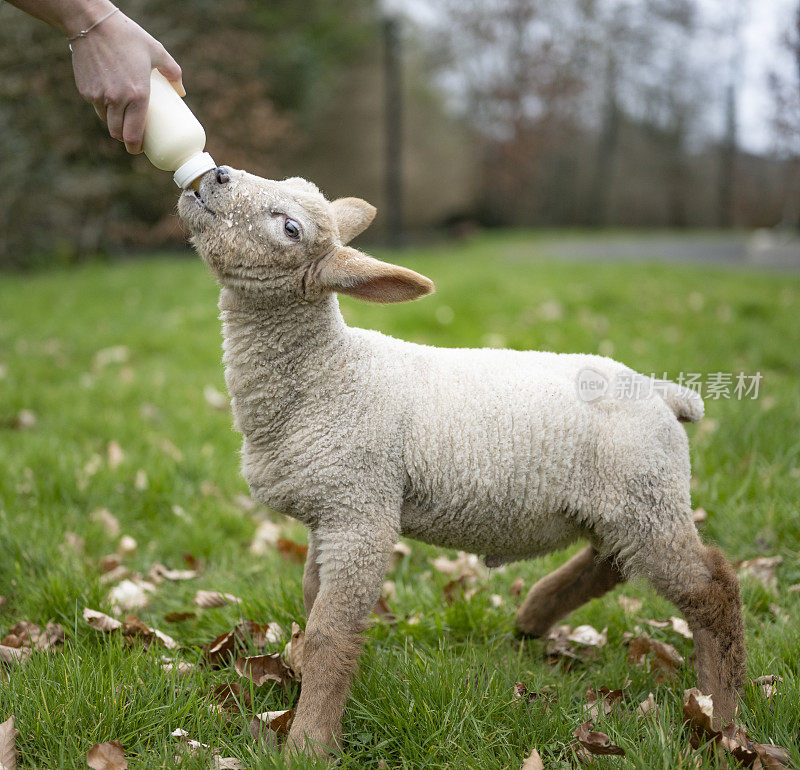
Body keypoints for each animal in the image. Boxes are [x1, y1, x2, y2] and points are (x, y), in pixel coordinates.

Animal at [178, 165, 748, 760]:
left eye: (290, 227)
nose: (215, 174)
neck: (328, 373)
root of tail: (664, 393)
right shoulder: (328, 512)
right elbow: (314, 608)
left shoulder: (362, 511)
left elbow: (332, 631)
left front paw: (309, 743)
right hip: (625, 501)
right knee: (609, 563)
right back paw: (533, 617)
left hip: (649, 493)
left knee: (711, 589)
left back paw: (722, 717)